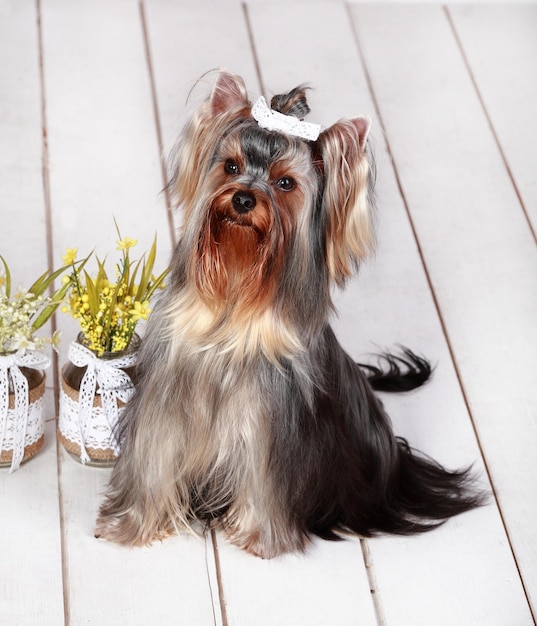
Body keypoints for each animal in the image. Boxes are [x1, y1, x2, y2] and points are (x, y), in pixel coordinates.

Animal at [94, 69, 484, 556]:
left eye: (285, 184)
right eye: (231, 166)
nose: (243, 199)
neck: (236, 301)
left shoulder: (272, 423)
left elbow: (265, 478)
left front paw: (259, 536)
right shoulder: (164, 401)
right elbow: (154, 460)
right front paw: (130, 525)